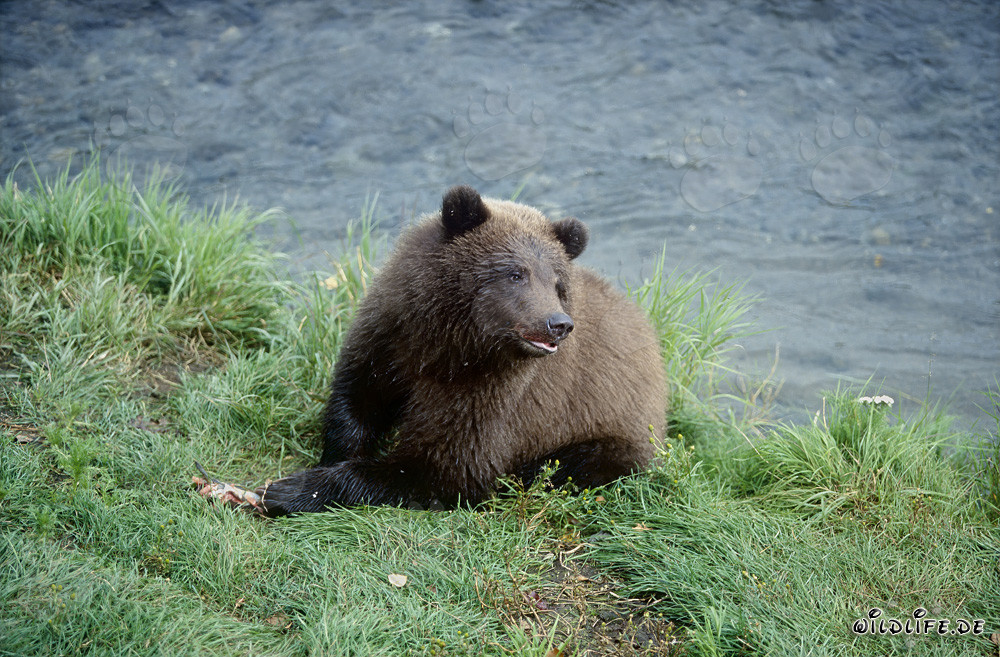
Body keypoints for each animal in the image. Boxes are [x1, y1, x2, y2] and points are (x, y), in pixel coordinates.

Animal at [236, 185, 667, 516]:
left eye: (558, 283)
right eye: (516, 273)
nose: (558, 324)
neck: (452, 342)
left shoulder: (493, 394)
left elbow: (444, 466)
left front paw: (290, 490)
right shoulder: (392, 336)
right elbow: (357, 396)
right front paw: (335, 453)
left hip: (613, 431)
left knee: (578, 464)